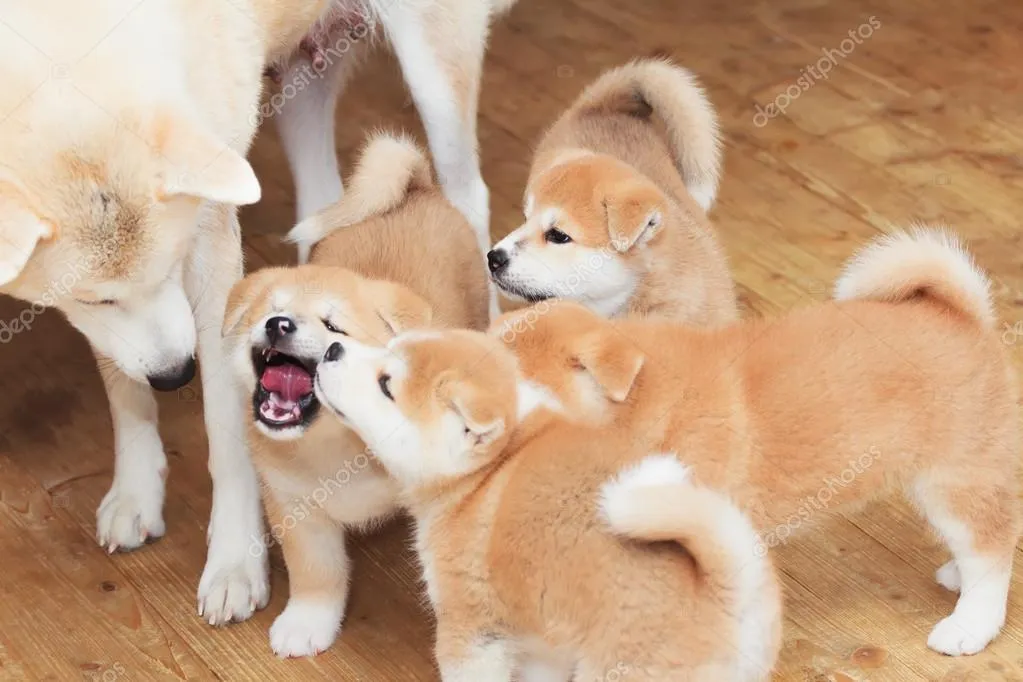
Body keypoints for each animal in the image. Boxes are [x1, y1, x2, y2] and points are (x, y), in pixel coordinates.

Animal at [224, 132, 486, 654]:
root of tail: (417, 188)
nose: (277, 324)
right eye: (272, 310)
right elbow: (317, 576)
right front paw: (307, 623)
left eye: (333, 326)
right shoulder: (296, 509)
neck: (334, 446)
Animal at [315, 329, 777, 678]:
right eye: (387, 343)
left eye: (386, 385)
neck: (485, 474)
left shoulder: (471, 627)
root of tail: (723, 592)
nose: (332, 347)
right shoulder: (539, 636)